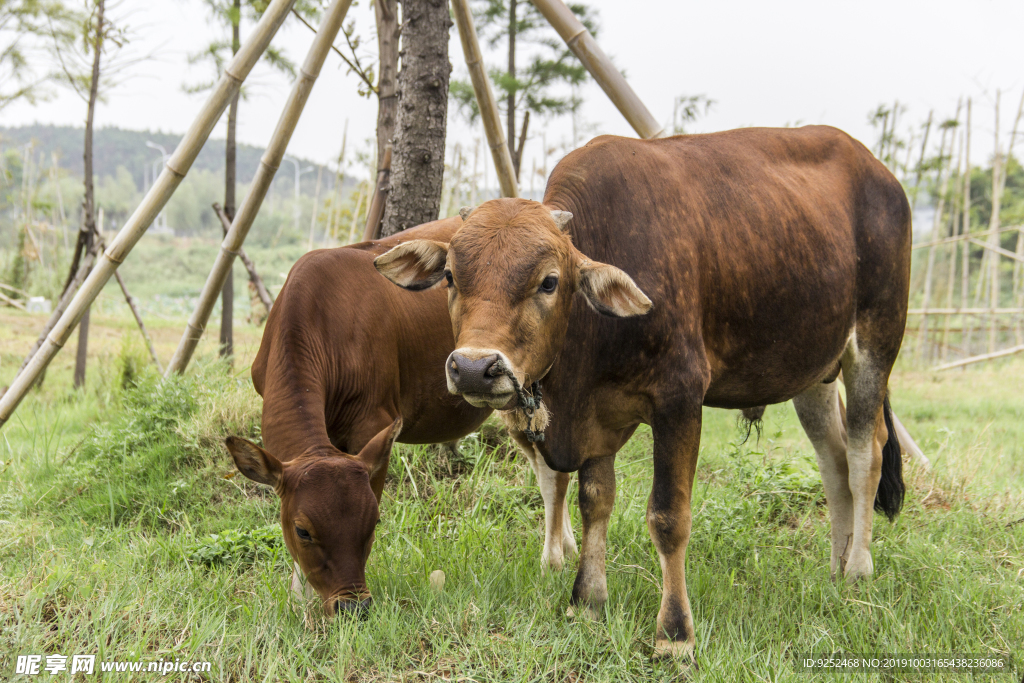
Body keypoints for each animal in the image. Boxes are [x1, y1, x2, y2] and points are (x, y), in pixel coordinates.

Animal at [223, 220, 577, 618]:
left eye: (373, 521)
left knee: (555, 470)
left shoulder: (374, 422)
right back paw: (568, 545)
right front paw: (300, 601)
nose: (353, 607)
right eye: (302, 531)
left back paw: (553, 559)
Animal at [376, 125, 913, 659]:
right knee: (833, 462)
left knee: (866, 455)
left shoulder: (680, 401)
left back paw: (859, 569)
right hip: (814, 373)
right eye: (450, 276)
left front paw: (674, 632)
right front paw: (587, 601)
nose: (472, 369)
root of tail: (881, 173)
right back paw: (837, 567)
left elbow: (668, 516)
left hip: (875, 345)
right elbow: (594, 502)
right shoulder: (596, 418)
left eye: (548, 281)